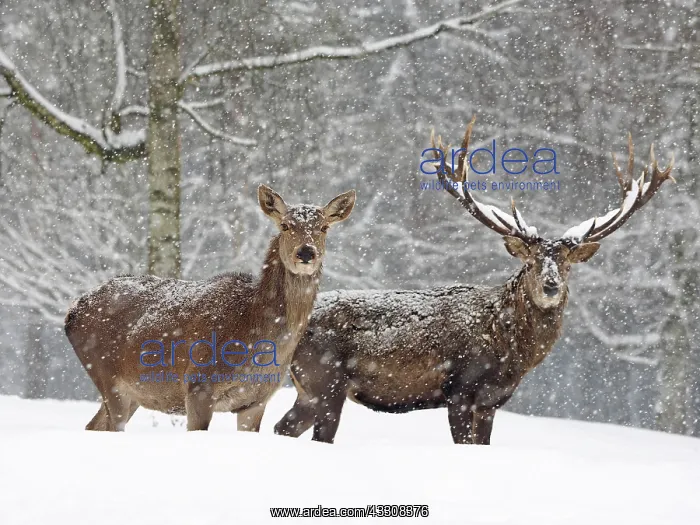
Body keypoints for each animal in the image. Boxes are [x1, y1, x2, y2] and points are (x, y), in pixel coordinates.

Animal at [65, 184, 356, 431]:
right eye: (285, 225)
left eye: (324, 227)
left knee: (92, 426)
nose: (306, 252)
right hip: (107, 376)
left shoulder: (256, 400)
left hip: (134, 391)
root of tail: (72, 312)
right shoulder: (198, 385)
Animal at [271, 117, 674, 445]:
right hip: (324, 381)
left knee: (282, 428)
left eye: (568, 265)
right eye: (530, 262)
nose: (551, 286)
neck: (508, 349)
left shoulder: (491, 402)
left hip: (309, 387)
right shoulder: (461, 391)